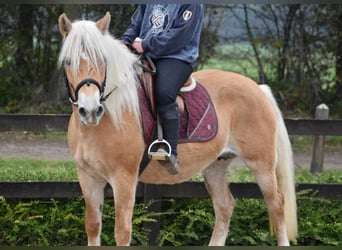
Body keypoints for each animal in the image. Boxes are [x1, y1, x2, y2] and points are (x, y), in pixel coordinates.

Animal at [58, 12, 296, 246]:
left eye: (103, 60)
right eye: (68, 61)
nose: (90, 110)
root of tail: (258, 88)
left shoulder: (124, 179)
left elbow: (122, 233)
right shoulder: (88, 178)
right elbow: (92, 226)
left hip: (262, 164)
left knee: (277, 204)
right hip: (216, 165)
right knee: (225, 206)